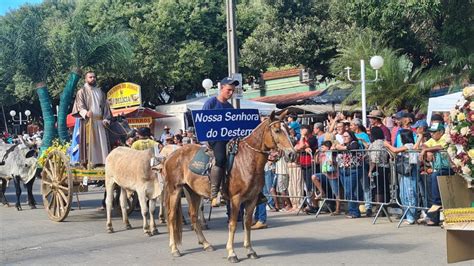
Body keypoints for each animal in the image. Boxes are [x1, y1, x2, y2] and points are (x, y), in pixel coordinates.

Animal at [165, 109, 294, 262]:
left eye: (288, 130)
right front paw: (232, 252)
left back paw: (206, 244)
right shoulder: (236, 200)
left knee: (193, 216)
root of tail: (171, 155)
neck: (248, 159)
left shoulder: (251, 200)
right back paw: (174, 248)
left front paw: (250, 250)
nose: (292, 154)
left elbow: (247, 223)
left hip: (194, 192)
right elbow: (232, 224)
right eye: (277, 130)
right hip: (175, 190)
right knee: (171, 216)